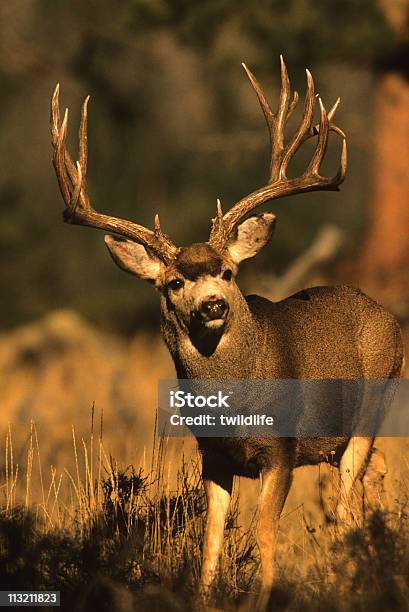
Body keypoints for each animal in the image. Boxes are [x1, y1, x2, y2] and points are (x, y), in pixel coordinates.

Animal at [50, 57, 402, 608]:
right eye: (174, 282)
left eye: (229, 273)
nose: (213, 304)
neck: (234, 404)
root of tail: (385, 313)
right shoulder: (212, 454)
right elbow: (212, 537)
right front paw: (202, 596)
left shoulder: (280, 448)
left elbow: (264, 531)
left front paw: (265, 598)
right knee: (374, 475)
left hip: (374, 403)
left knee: (347, 504)